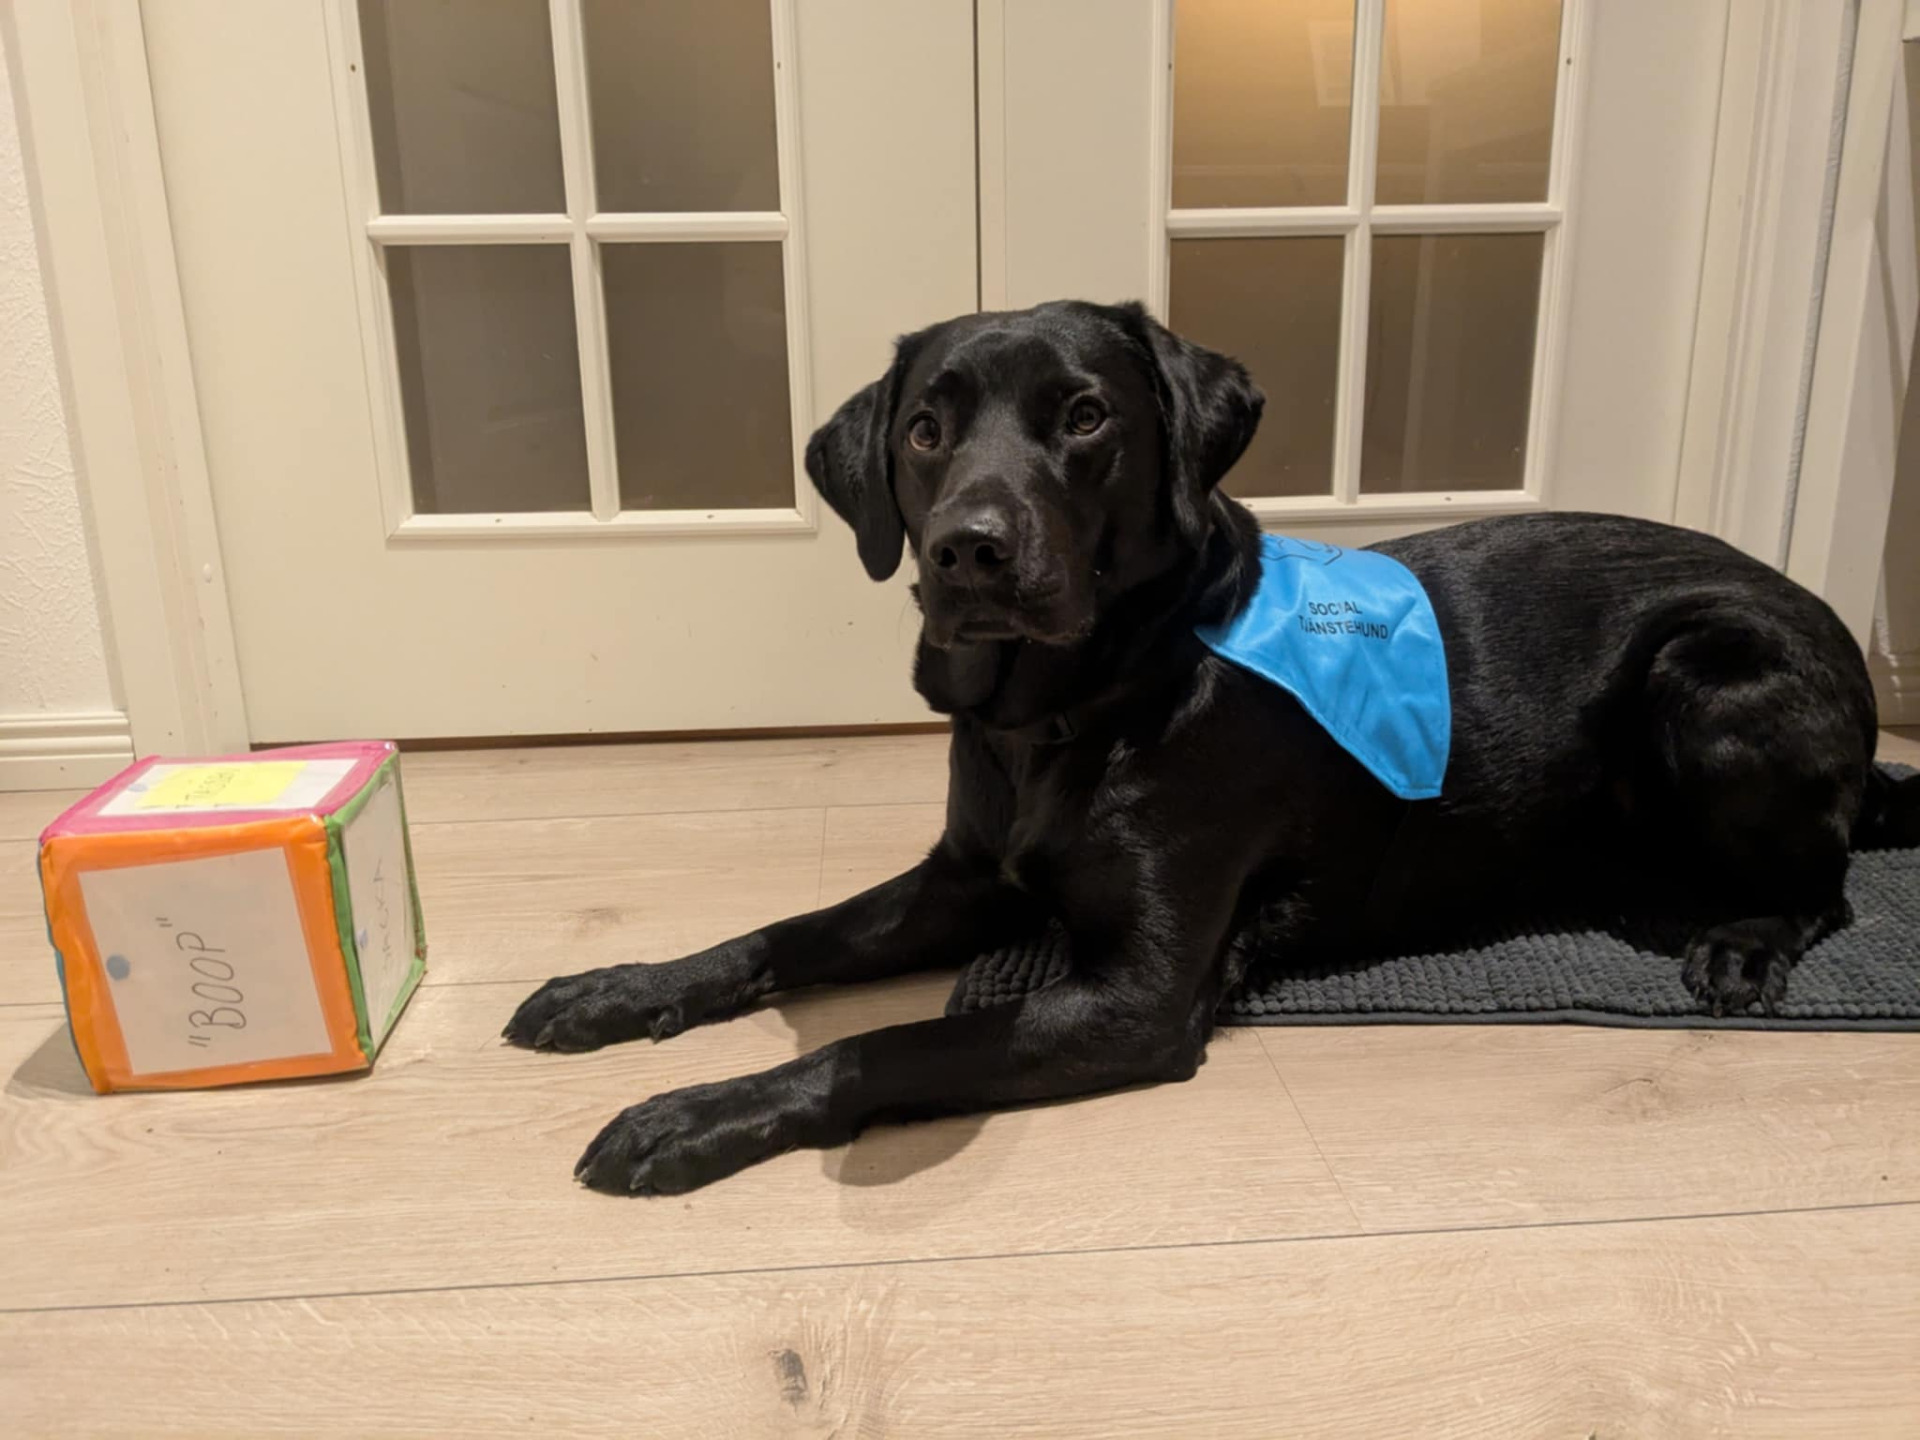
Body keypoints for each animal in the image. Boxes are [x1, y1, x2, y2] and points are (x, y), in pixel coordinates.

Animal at [505, 299, 1919, 1195]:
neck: (1069, 713)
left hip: (1712, 673)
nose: (967, 549)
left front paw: (687, 1115)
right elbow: (783, 936)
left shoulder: (1138, 996)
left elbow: (884, 1044)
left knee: (1829, 880)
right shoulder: (961, 880)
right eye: (923, 431)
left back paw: (1739, 939)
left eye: (1084, 416)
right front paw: (616, 991)